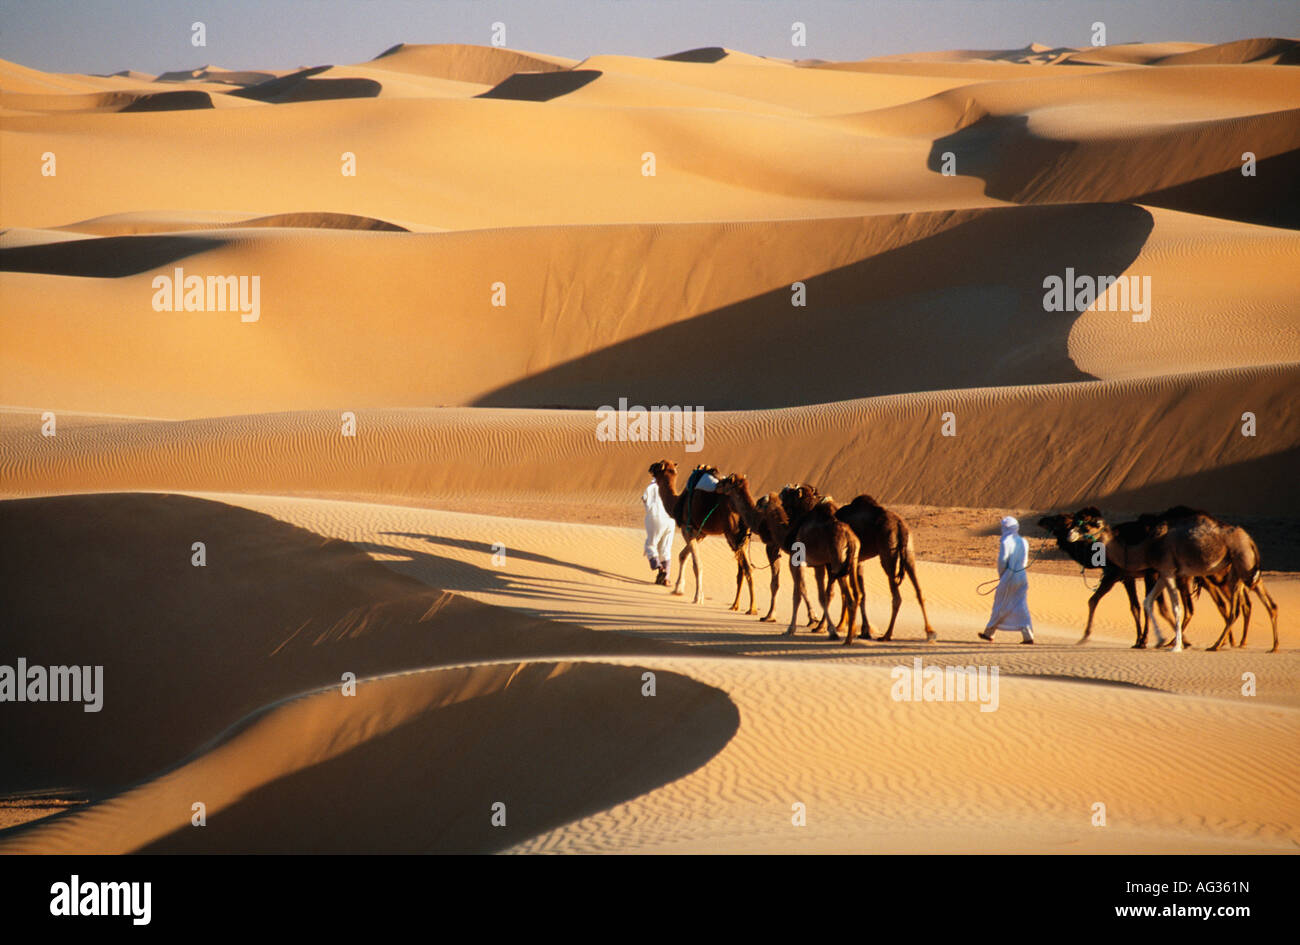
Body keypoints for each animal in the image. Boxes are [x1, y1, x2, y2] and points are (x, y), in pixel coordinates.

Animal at [647, 460, 759, 610]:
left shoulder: (687, 529)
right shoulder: (700, 533)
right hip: (743, 537)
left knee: (746, 568)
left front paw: (698, 597)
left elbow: (697, 564)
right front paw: (678, 588)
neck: (678, 502)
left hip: (732, 534)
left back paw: (752, 608)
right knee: (743, 569)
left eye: (659, 465)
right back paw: (736, 605)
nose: (650, 467)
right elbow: (683, 555)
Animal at [780, 483, 863, 647]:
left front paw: (790, 629)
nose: (783, 488)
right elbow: (822, 596)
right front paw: (828, 629)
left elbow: (797, 594)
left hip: (838, 563)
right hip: (851, 563)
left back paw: (848, 639)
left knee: (850, 598)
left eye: (792, 491)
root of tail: (850, 540)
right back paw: (850, 633)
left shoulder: (796, 561)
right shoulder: (819, 565)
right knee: (857, 595)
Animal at [832, 496, 935, 642]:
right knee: (919, 591)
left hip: (888, 553)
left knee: (897, 597)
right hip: (909, 552)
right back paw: (930, 632)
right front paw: (864, 631)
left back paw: (887, 635)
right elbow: (862, 594)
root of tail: (900, 527)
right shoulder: (859, 561)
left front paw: (842, 626)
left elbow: (847, 592)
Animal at [1086, 506, 1279, 655]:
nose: (1076, 534)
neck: (1146, 546)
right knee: (1265, 604)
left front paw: (1173, 645)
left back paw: (1216, 645)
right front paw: (1161, 640)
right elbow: (1149, 601)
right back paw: (1270, 646)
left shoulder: (1167, 572)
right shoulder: (1163, 574)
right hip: (1244, 569)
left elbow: (1175, 608)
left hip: (1240, 567)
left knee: (1236, 608)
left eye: (1089, 525)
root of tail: (1250, 540)